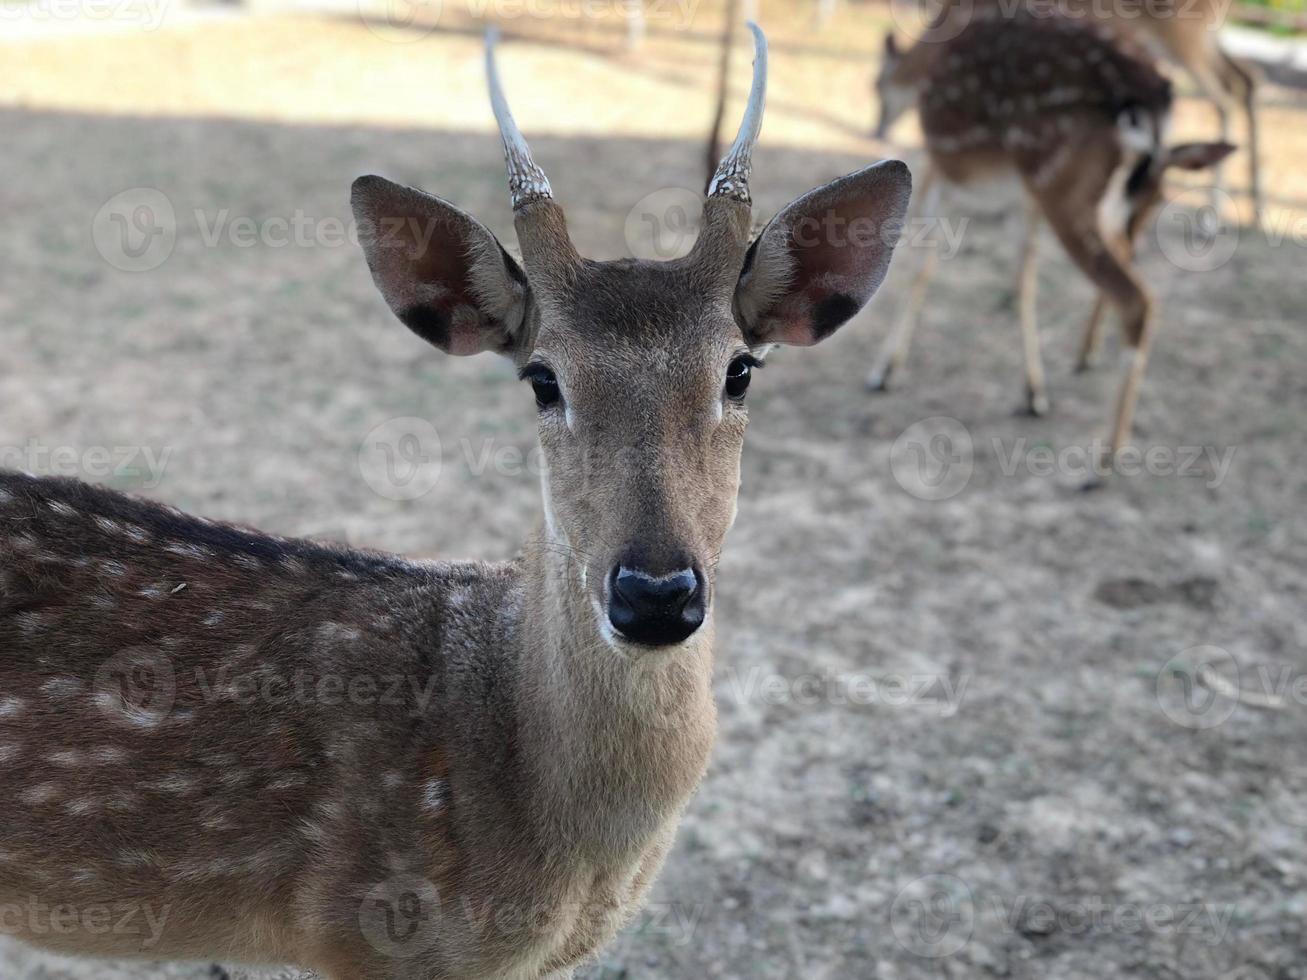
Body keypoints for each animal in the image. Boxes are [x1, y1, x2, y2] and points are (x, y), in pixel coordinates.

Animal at [867, 12, 1233, 465]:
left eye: (875, 83)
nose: (877, 128)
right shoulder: (1024, 195)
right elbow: (1025, 276)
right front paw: (1033, 393)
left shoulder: (945, 162)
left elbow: (923, 261)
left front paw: (883, 371)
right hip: (1125, 194)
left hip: (1062, 185)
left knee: (1137, 299)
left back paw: (1106, 459)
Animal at [873, 0, 1259, 215]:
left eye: (876, 87)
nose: (877, 130)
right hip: (1203, 35)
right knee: (1243, 79)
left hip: (1183, 34)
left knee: (1224, 94)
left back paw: (1214, 216)